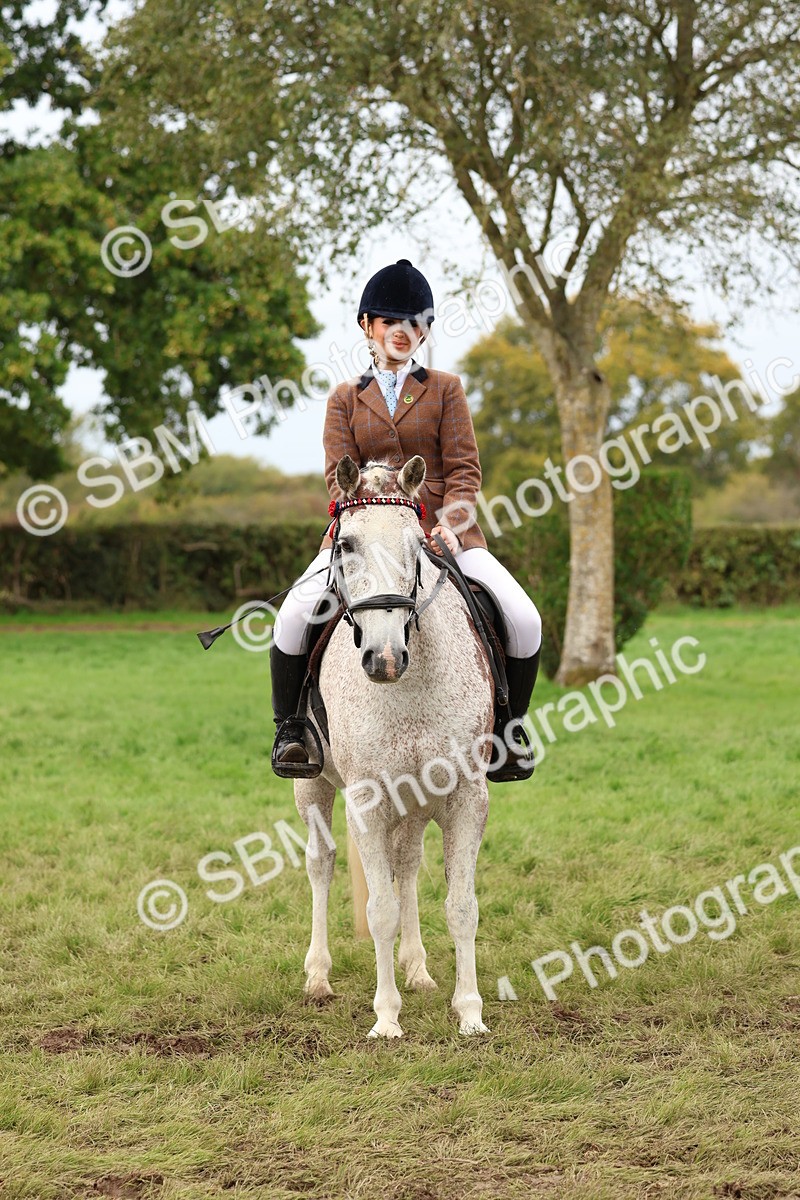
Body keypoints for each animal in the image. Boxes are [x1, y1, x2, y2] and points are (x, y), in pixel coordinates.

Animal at [292, 453, 495, 1038]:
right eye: (345, 544)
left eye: (417, 545)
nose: (384, 659)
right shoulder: (366, 800)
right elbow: (380, 908)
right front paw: (385, 1018)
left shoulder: (466, 796)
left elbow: (461, 905)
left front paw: (470, 1013)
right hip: (312, 785)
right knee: (321, 862)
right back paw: (318, 976)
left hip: (415, 800)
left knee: (406, 863)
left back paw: (418, 968)